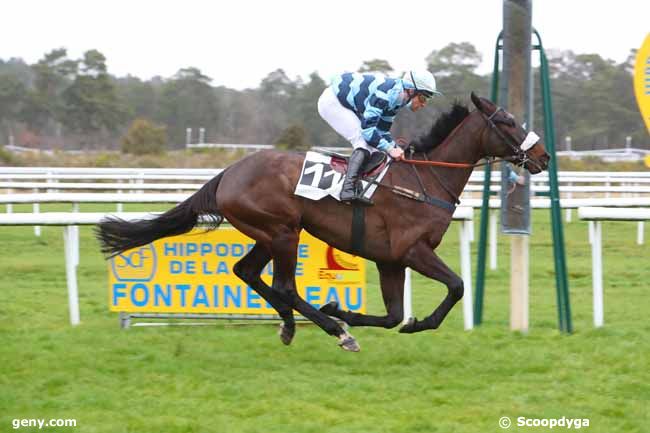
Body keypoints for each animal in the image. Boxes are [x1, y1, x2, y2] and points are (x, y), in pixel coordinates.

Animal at [96, 92, 548, 352]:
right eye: (508, 122)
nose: (542, 155)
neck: (425, 179)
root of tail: (228, 172)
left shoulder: (389, 259)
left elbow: (392, 315)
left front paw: (348, 310)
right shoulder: (411, 250)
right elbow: (456, 286)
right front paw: (414, 322)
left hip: (269, 233)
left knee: (248, 272)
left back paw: (291, 326)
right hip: (283, 231)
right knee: (283, 285)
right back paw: (334, 330)